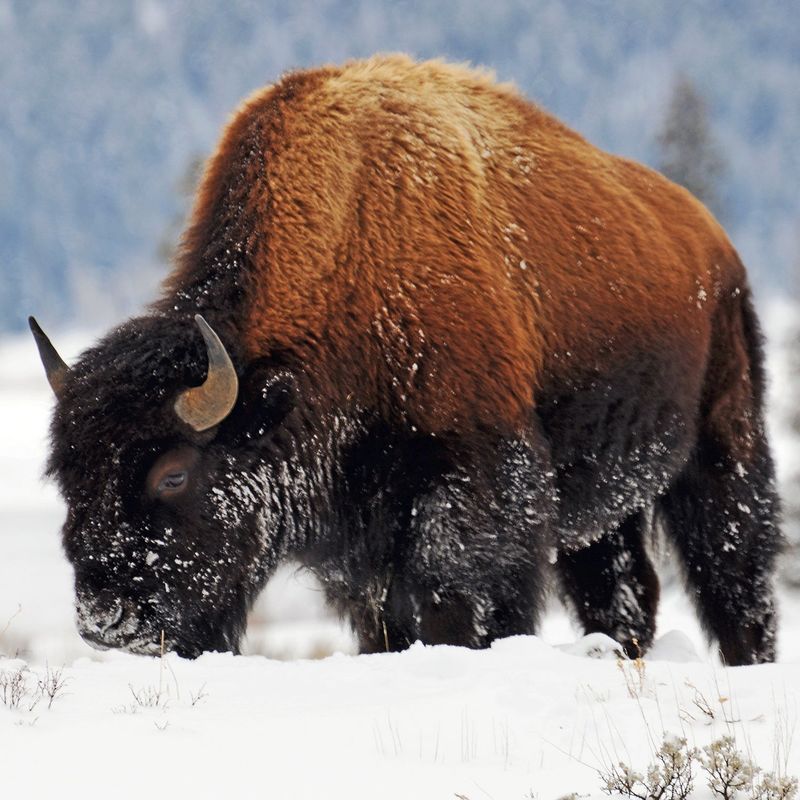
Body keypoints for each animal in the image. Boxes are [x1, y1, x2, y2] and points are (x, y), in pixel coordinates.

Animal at [31, 54, 776, 664]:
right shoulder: (364, 550)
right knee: (623, 592)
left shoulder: (475, 491)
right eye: (67, 476)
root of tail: (714, 244)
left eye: (174, 474)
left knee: (737, 575)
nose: (105, 621)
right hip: (605, 504)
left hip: (725, 449)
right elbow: (385, 624)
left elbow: (459, 605)